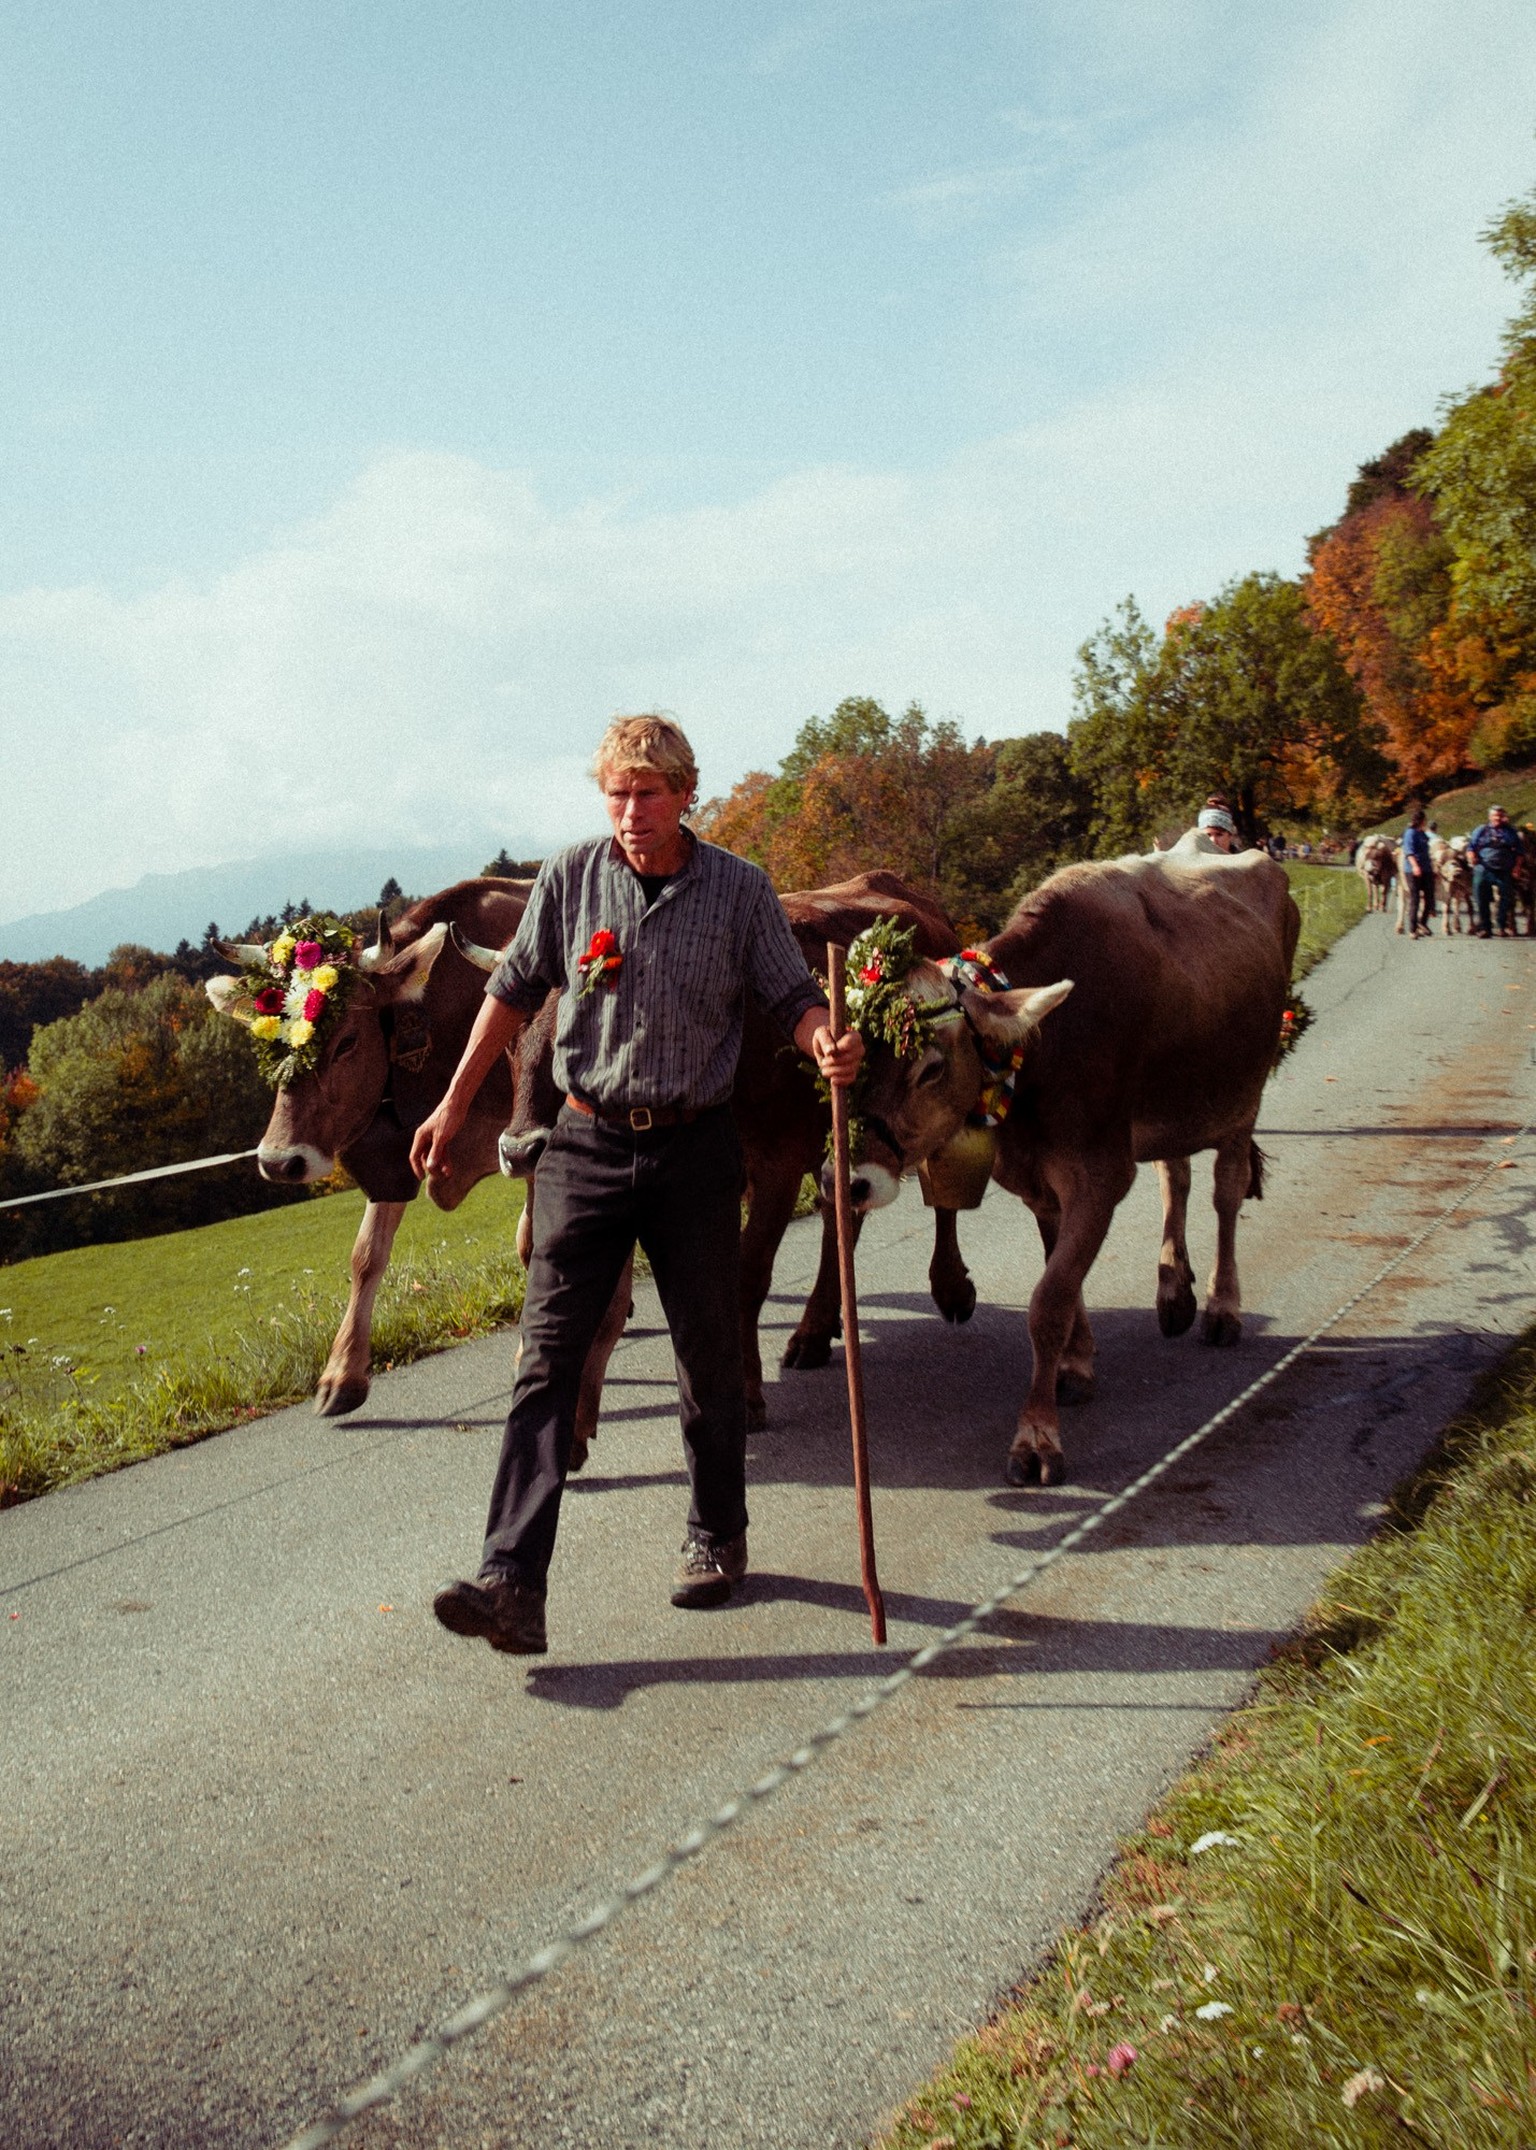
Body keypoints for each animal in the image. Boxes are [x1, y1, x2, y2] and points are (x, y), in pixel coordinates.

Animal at [826, 847, 1290, 1487]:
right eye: (857, 1052)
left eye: (931, 1068)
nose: (844, 1181)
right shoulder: (1039, 1182)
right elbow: (1061, 1278)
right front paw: (1076, 1365)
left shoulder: (1100, 1174)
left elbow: (1049, 1301)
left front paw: (1037, 1437)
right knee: (1176, 1175)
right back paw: (1174, 1290)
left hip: (1243, 1098)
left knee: (1226, 1191)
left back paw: (1222, 1307)